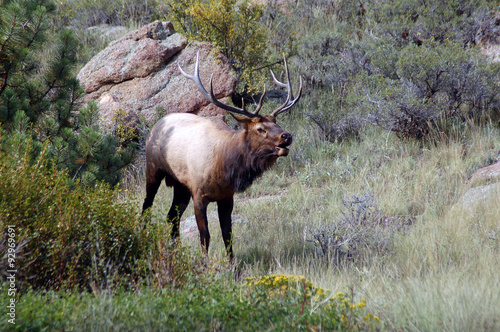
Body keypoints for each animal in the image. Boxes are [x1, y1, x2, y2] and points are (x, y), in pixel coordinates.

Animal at [143, 53, 302, 258]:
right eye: (260, 128)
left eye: (277, 122)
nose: (287, 136)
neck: (224, 166)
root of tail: (157, 123)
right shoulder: (198, 194)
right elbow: (205, 236)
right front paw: (204, 263)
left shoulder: (227, 196)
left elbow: (228, 234)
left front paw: (232, 264)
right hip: (153, 170)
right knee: (147, 207)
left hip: (180, 185)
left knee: (171, 217)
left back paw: (175, 250)